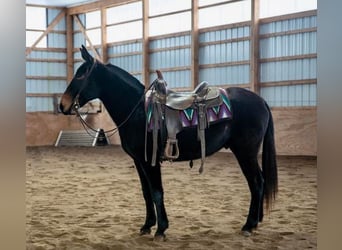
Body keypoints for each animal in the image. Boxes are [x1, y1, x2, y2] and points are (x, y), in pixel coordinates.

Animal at [59, 45, 278, 240]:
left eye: (81, 75)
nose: (62, 105)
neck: (137, 110)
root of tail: (261, 101)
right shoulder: (139, 161)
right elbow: (146, 193)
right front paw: (147, 225)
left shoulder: (150, 161)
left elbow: (157, 192)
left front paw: (161, 229)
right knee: (258, 181)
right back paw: (256, 222)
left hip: (245, 153)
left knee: (256, 182)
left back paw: (249, 225)